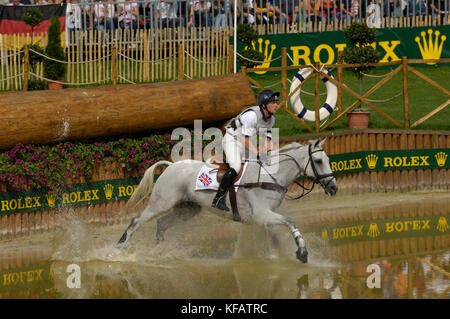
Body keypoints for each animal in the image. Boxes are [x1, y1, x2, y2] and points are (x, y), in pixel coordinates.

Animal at [116, 139, 338, 264]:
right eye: (319, 161)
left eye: (327, 160)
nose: (334, 188)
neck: (271, 176)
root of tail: (171, 166)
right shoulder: (263, 214)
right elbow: (291, 222)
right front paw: (302, 252)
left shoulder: (265, 218)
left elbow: (274, 240)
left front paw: (279, 258)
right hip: (161, 203)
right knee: (137, 221)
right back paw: (119, 248)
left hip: (187, 209)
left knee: (162, 224)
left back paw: (159, 251)